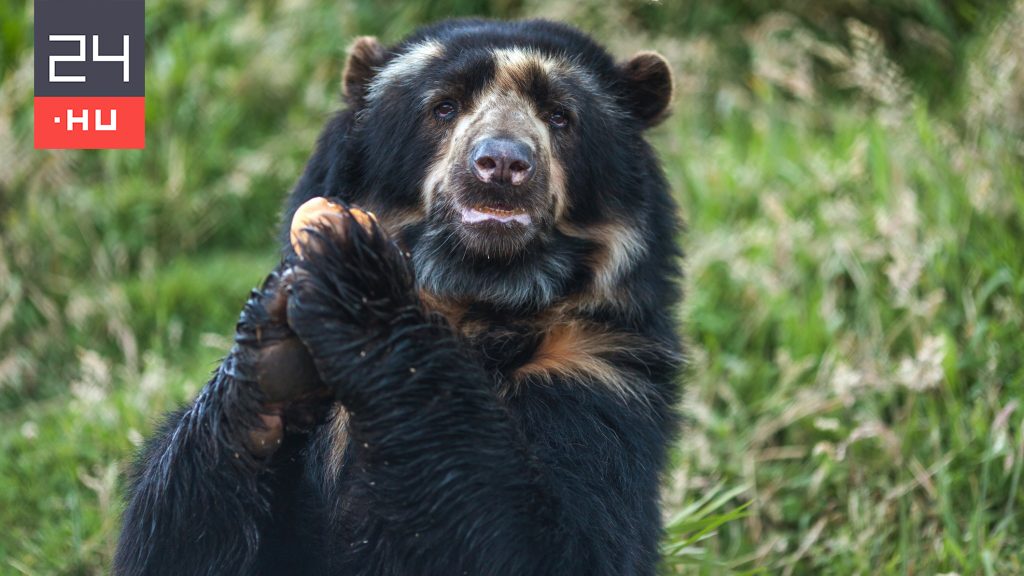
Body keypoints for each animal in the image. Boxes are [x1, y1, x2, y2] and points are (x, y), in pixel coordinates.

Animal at [116, 17, 684, 573]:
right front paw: (273, 354)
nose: (501, 165)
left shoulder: (598, 369)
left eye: (560, 117)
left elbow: (556, 541)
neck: (477, 298)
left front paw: (353, 274)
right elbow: (170, 539)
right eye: (443, 107)